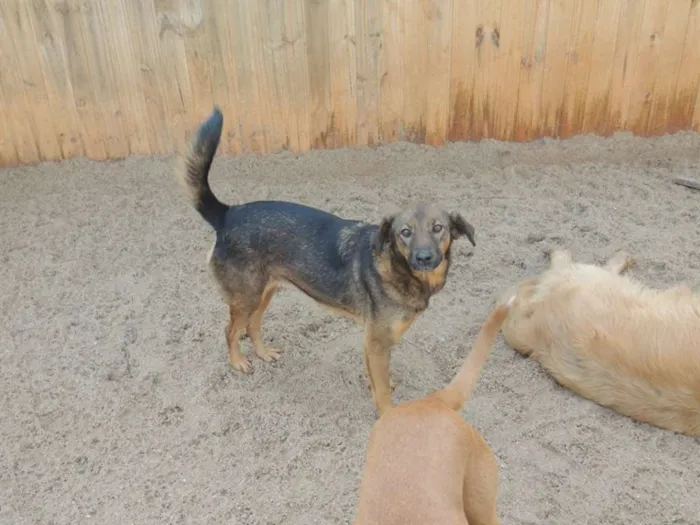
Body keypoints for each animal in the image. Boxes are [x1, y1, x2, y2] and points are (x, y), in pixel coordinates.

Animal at [176, 107, 476, 414]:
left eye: (438, 228)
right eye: (405, 232)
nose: (424, 258)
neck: (400, 269)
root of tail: (228, 214)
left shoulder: (377, 344)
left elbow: (380, 379)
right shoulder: (376, 342)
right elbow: (382, 392)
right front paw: (387, 416)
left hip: (264, 292)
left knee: (252, 325)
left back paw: (263, 353)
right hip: (246, 296)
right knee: (230, 330)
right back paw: (237, 362)